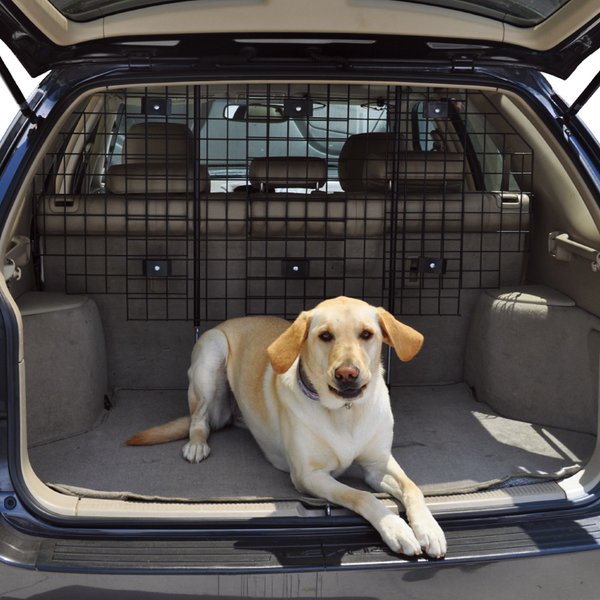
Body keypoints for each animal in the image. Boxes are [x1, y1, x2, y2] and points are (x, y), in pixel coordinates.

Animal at [127, 296, 446, 556]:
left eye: (367, 334)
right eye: (325, 336)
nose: (347, 374)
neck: (345, 413)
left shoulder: (378, 464)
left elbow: (412, 488)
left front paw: (429, 529)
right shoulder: (309, 476)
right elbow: (361, 495)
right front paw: (396, 527)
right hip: (210, 358)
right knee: (199, 419)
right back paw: (196, 444)